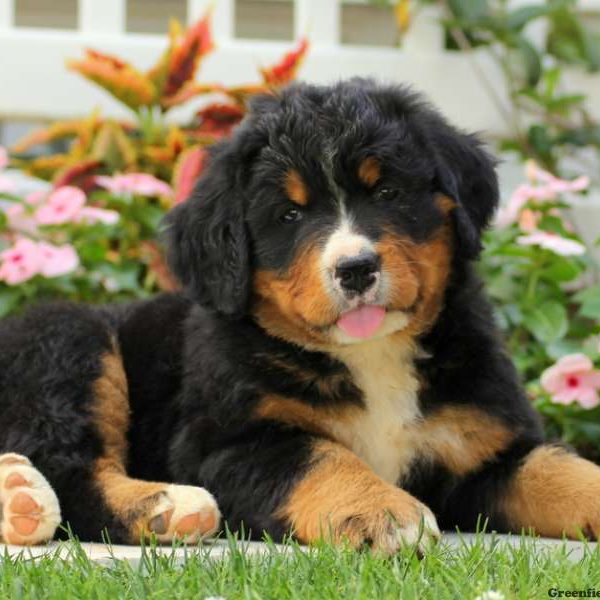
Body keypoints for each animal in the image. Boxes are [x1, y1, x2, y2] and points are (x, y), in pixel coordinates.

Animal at [1, 79, 600, 552]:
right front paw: (382, 511)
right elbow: (319, 456)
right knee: (69, 466)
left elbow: (560, 469)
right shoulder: (227, 443)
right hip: (68, 340)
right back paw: (153, 504)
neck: (372, 357)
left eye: (388, 191)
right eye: (289, 214)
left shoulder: (485, 447)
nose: (355, 269)